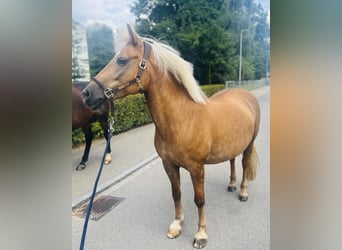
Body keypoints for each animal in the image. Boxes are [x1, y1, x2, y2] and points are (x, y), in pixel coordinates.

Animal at [82, 24, 260, 249]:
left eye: (121, 59)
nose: (87, 93)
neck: (181, 119)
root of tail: (246, 96)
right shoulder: (169, 165)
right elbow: (176, 194)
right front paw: (177, 225)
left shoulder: (197, 169)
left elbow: (199, 200)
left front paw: (201, 234)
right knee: (232, 161)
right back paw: (231, 184)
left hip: (249, 144)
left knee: (245, 164)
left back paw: (243, 192)